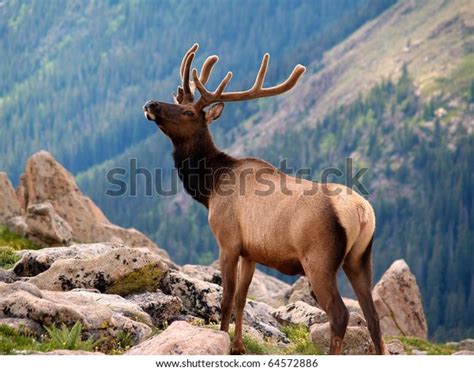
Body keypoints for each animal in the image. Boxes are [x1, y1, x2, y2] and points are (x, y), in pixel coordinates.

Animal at [143, 44, 386, 358]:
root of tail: (361, 211)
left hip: (319, 258)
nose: (151, 104)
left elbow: (226, 298)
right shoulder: (251, 252)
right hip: (361, 257)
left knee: (340, 314)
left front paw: (223, 340)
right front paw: (238, 346)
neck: (210, 188)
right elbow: (242, 298)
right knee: (374, 317)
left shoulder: (228, 240)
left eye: (187, 111)